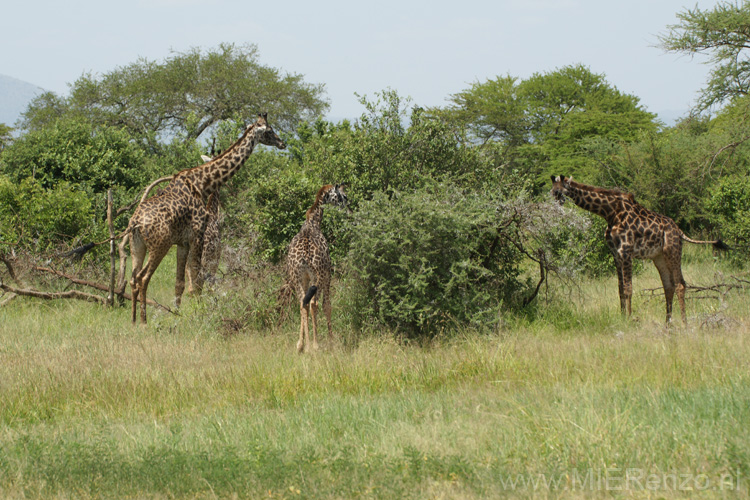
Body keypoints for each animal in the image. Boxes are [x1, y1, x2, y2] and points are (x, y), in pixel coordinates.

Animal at [129, 113, 284, 324]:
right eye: (269, 130)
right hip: (159, 245)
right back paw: (144, 322)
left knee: (133, 279)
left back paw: (133, 320)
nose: (282, 142)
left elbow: (180, 283)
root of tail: (136, 223)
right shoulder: (197, 235)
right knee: (144, 278)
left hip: (137, 246)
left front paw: (177, 313)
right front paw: (199, 314)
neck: (202, 183)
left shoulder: (182, 242)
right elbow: (197, 281)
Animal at [284, 183, 350, 352]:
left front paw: (300, 343)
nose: (348, 209)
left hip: (297, 277)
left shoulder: (304, 278)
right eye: (343, 196)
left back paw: (305, 346)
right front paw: (331, 340)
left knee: (303, 303)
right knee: (314, 304)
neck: (313, 222)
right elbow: (327, 305)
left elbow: (304, 304)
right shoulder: (328, 274)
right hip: (318, 276)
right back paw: (314, 345)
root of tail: (305, 256)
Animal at [552, 176, 728, 324]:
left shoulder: (626, 252)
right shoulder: (616, 254)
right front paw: (622, 316)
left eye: (558, 191)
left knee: (680, 284)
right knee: (668, 286)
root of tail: (679, 231)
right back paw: (667, 323)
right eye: (551, 190)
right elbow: (620, 289)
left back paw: (684, 323)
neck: (610, 213)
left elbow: (629, 288)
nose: (554, 204)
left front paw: (629, 318)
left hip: (673, 251)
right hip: (659, 257)